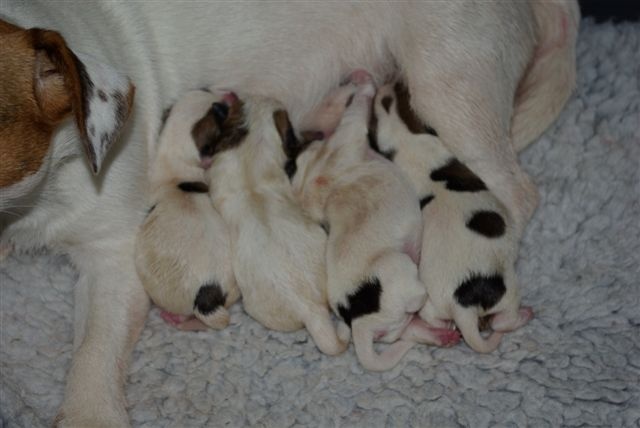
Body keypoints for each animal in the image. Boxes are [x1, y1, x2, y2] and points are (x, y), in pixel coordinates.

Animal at [292, 71, 462, 372]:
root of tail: (360, 323)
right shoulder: (350, 132)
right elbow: (358, 108)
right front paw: (364, 83)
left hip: (394, 325)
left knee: (407, 330)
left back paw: (440, 336)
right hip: (399, 268)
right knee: (417, 298)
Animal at [370, 82, 536, 352]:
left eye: (392, 99)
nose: (389, 83)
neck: (408, 140)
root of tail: (462, 308)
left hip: (432, 303)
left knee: (433, 317)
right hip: (506, 291)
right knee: (502, 321)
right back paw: (523, 315)